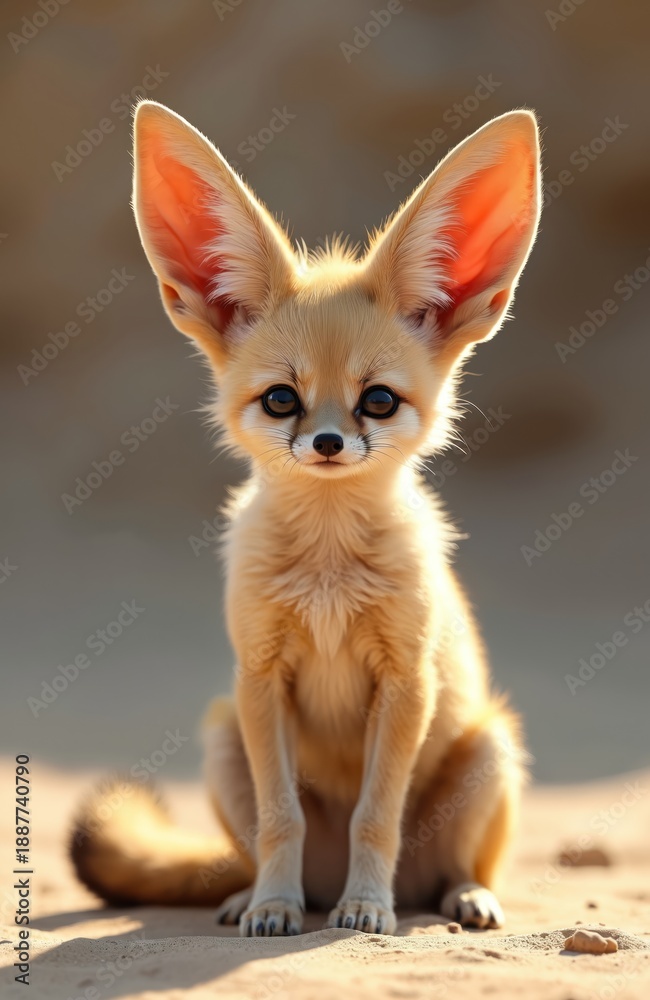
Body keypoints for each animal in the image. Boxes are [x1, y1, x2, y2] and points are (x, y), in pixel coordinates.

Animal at [70, 100, 541, 937]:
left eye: (377, 400)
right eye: (282, 400)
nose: (327, 443)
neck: (327, 574)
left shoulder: (406, 681)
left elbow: (374, 816)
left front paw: (365, 909)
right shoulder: (261, 679)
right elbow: (280, 818)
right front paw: (275, 908)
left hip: (490, 750)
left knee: (452, 870)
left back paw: (453, 897)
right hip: (223, 737)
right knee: (251, 847)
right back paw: (252, 895)